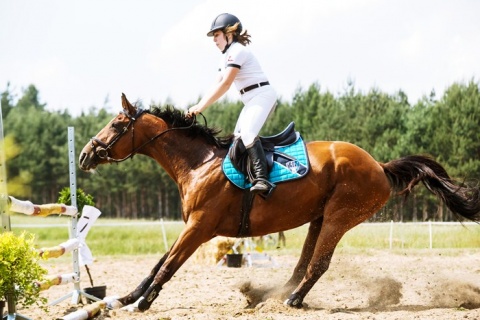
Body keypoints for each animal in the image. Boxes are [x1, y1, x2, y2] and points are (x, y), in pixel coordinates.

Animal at [77, 93, 478, 312]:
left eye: (117, 124)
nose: (84, 155)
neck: (199, 162)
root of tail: (379, 166)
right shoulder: (192, 226)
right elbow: (159, 262)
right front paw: (126, 297)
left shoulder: (201, 227)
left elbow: (169, 265)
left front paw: (143, 303)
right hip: (319, 218)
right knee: (303, 264)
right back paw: (272, 297)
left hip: (340, 217)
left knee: (318, 264)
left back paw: (293, 300)